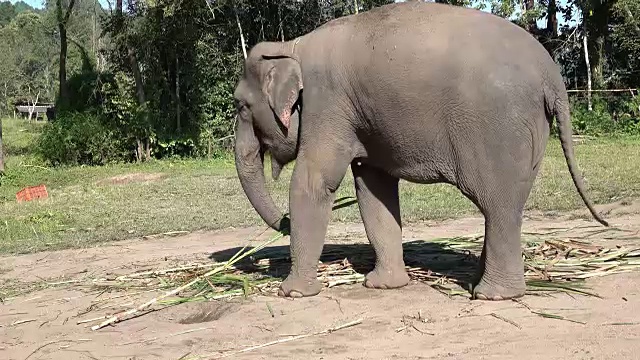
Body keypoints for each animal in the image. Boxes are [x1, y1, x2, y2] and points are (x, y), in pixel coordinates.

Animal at [232, 1, 608, 300]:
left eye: (240, 106)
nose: (283, 222)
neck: (291, 46)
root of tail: (552, 75)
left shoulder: (327, 104)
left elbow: (313, 182)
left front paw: (292, 293)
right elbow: (373, 189)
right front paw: (383, 286)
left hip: (499, 129)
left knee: (497, 204)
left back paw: (492, 295)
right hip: (532, 132)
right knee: (506, 204)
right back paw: (478, 283)